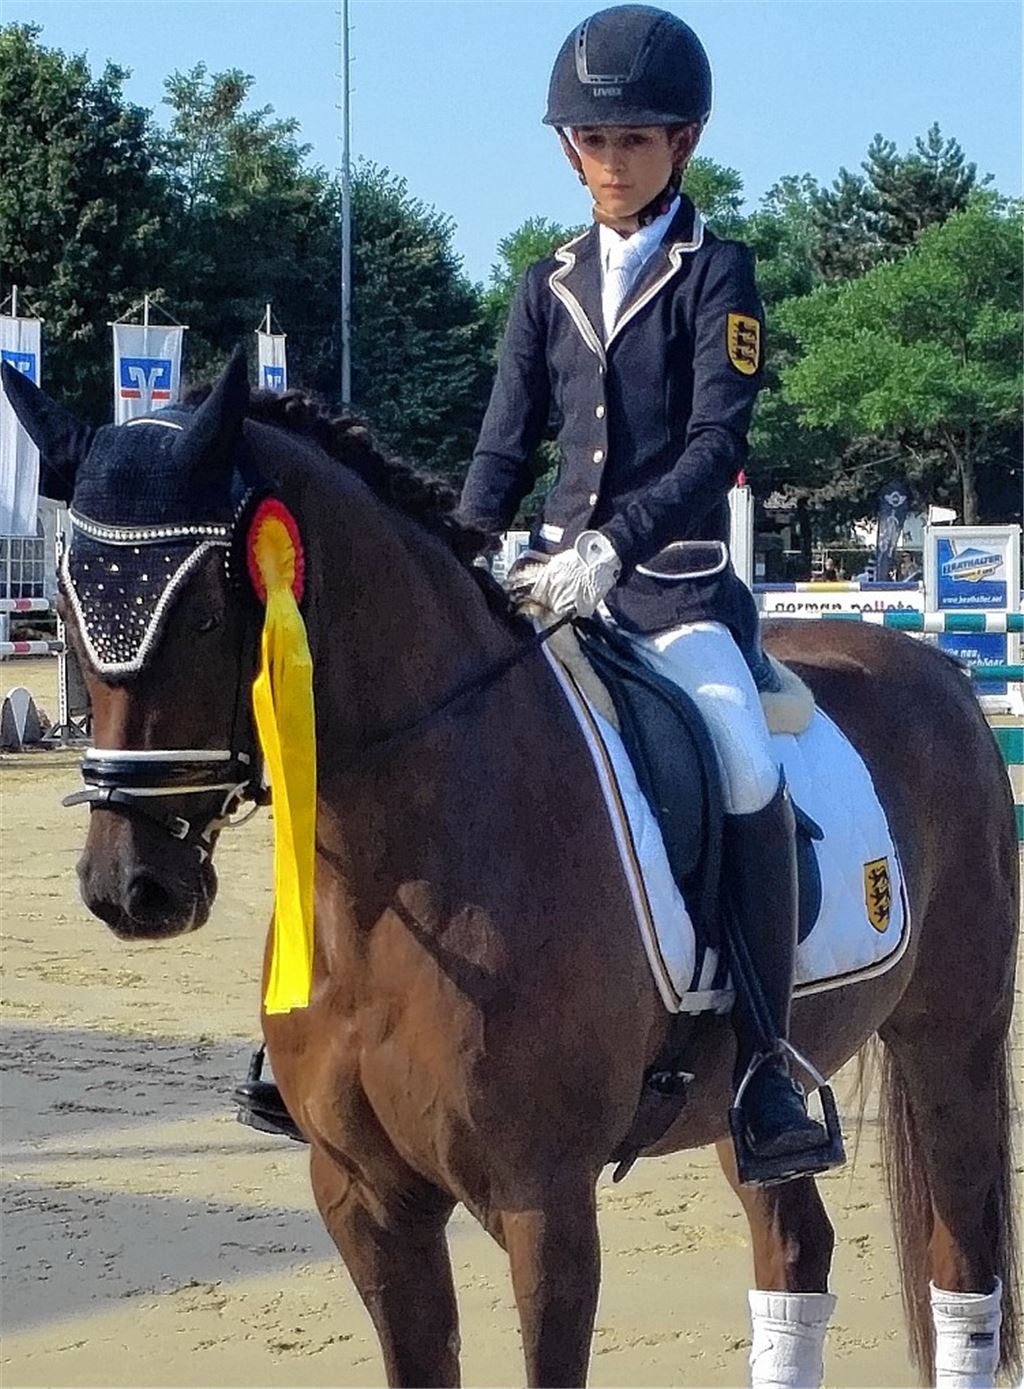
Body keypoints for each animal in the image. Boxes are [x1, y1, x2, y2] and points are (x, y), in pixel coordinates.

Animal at [4, 351, 1019, 1387]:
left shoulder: (545, 1203)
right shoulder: (365, 1199)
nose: (131, 887)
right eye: (67, 604)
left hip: (953, 1043)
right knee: (795, 1247)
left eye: (207, 611)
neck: (392, 883)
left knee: (963, 1266)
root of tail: (937, 671)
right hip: (749, 1099)